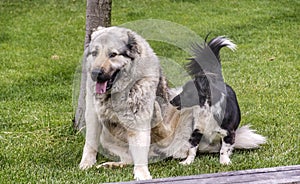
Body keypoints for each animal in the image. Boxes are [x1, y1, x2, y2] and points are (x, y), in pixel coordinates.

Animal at [170, 36, 266, 165]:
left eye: (187, 93)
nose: (171, 101)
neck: (207, 110)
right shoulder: (197, 130)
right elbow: (192, 148)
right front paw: (188, 162)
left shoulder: (228, 133)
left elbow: (224, 149)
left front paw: (224, 161)